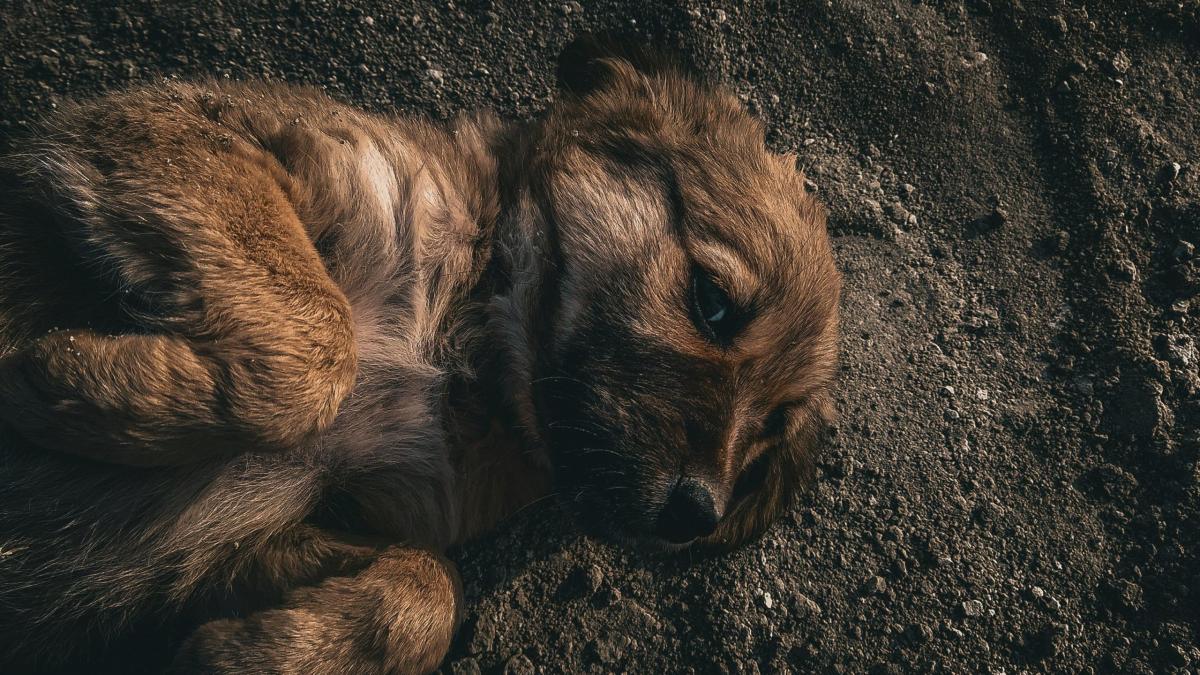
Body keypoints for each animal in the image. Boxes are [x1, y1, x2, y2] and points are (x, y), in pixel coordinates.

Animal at [0, 39, 840, 667]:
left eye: (770, 428)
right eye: (713, 301)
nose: (695, 513)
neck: (460, 352)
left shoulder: (236, 542)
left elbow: (430, 585)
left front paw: (261, 652)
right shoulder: (170, 132)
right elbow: (318, 345)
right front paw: (60, 384)